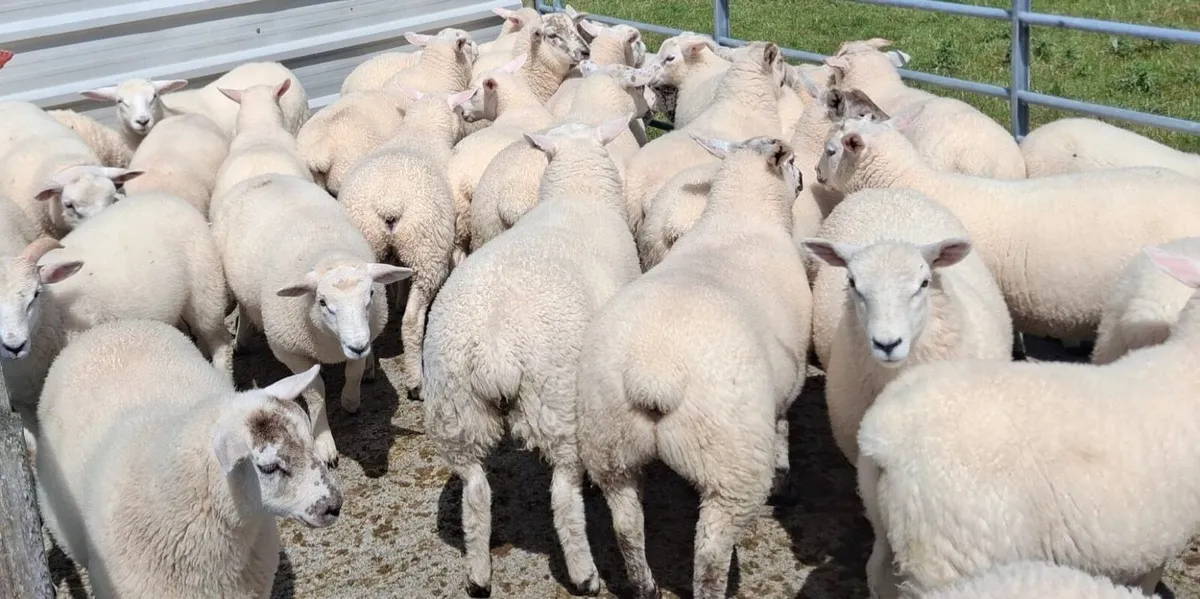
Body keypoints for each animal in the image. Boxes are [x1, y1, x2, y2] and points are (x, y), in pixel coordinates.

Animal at [212, 173, 412, 467]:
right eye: (323, 302)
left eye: (371, 294)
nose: (358, 345)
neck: (328, 254)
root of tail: (262, 177)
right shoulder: (289, 351)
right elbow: (315, 391)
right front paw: (324, 442)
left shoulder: (364, 335)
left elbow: (352, 371)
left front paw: (350, 399)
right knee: (245, 307)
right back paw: (243, 338)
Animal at [329, 89, 471, 399]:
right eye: (458, 109)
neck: (421, 131)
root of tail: (389, 203)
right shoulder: (450, 238)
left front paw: (398, 298)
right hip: (427, 250)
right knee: (413, 322)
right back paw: (416, 382)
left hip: (370, 247)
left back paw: (367, 369)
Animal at [423, 115, 637, 598]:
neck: (578, 192)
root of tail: (495, 348)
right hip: (555, 405)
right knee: (563, 496)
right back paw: (585, 573)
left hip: (455, 410)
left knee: (475, 491)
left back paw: (478, 574)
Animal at [577, 134, 809, 599]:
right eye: (791, 159)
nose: (804, 180)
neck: (741, 216)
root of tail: (653, 376)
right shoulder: (790, 384)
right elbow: (783, 429)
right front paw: (785, 480)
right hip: (731, 465)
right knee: (710, 553)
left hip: (609, 442)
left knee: (627, 525)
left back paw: (645, 586)